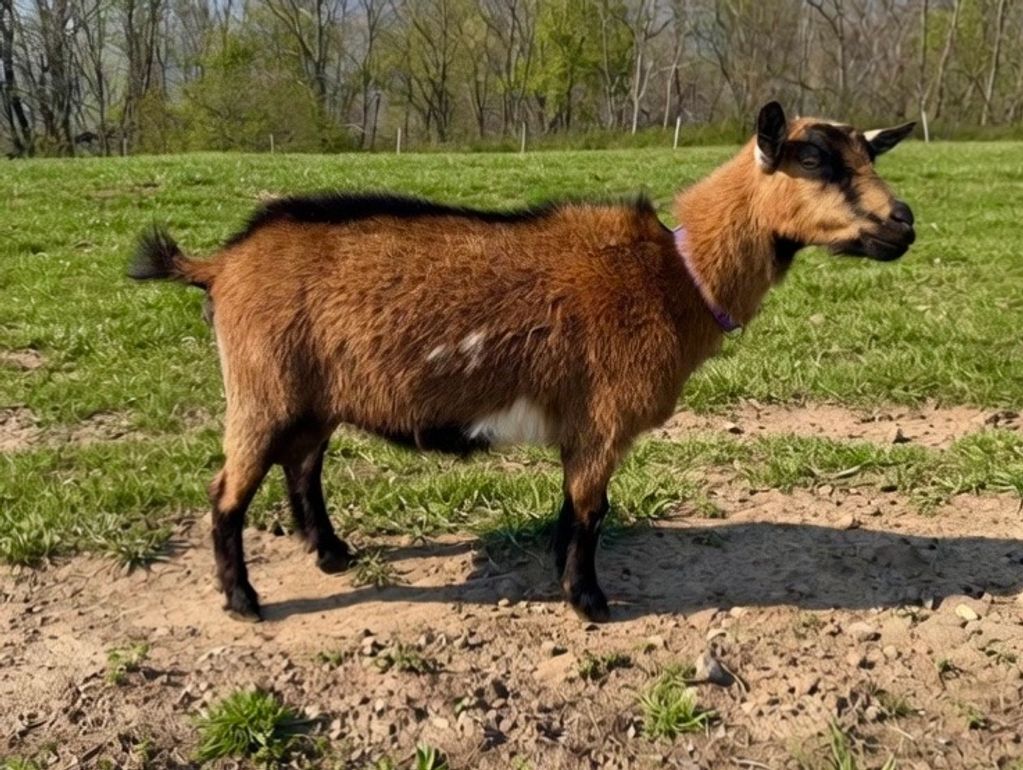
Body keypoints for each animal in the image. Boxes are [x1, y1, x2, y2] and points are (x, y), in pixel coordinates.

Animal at [129, 102, 917, 623]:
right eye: (811, 158)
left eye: (870, 154)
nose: (903, 224)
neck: (677, 277)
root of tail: (219, 264)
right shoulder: (604, 419)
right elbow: (592, 510)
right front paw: (589, 601)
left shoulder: (582, 428)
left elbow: (572, 508)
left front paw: (560, 572)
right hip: (259, 389)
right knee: (226, 492)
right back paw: (243, 600)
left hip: (312, 396)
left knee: (302, 466)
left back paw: (332, 554)